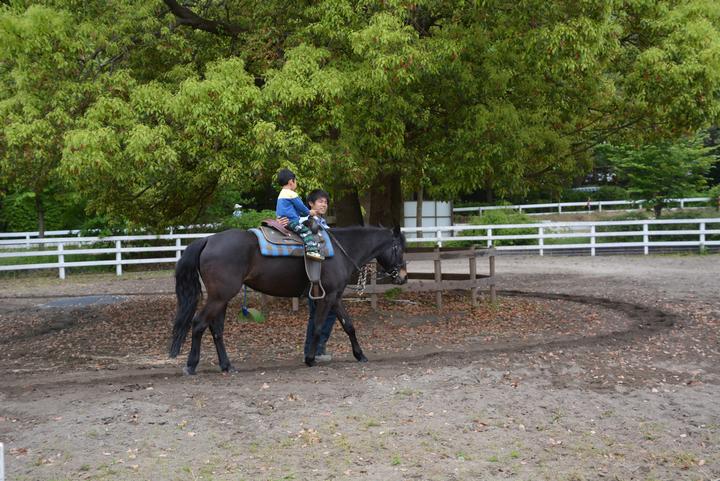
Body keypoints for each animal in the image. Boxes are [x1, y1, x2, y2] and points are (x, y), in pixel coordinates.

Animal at [169, 223, 404, 374]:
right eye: (399, 248)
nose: (402, 276)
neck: (340, 251)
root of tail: (208, 239)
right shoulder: (327, 298)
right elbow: (318, 326)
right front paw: (310, 359)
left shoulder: (335, 297)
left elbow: (349, 325)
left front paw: (360, 355)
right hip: (219, 297)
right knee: (199, 324)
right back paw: (191, 365)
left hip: (221, 298)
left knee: (216, 329)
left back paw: (227, 366)